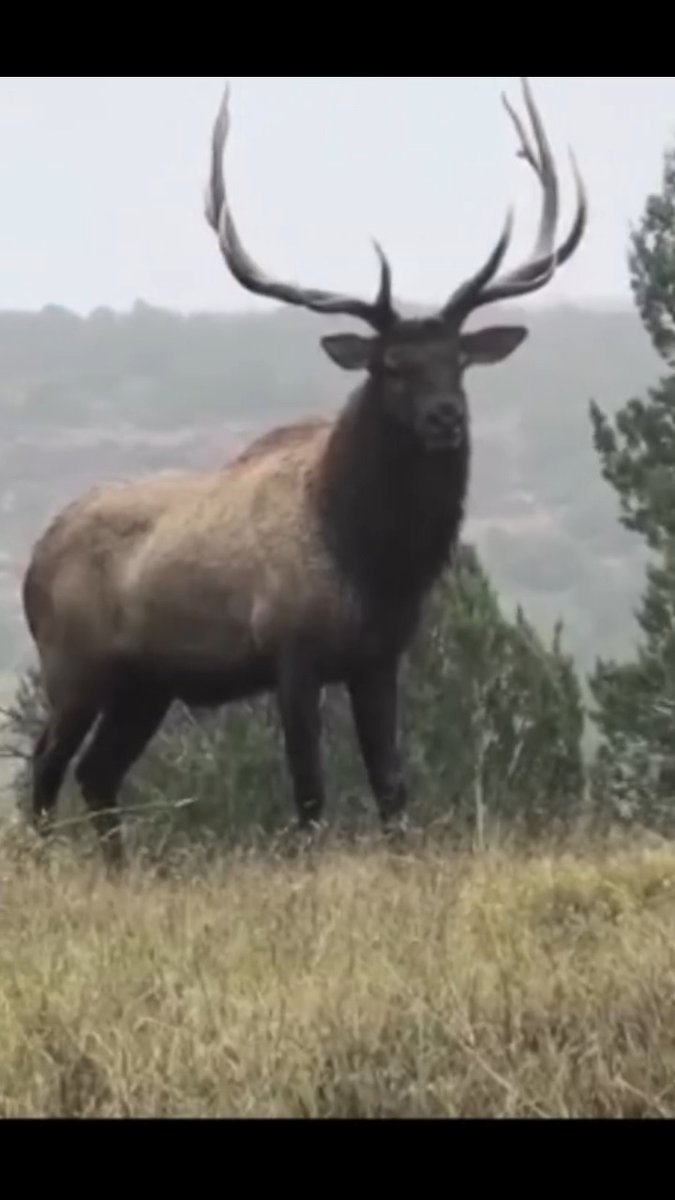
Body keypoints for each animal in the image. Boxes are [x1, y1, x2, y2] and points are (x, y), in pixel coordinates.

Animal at [21, 77, 587, 867]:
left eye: (458, 361)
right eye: (391, 364)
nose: (446, 417)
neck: (371, 558)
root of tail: (33, 559)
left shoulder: (379, 657)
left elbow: (391, 785)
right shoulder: (292, 650)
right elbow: (311, 790)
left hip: (146, 682)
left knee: (99, 773)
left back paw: (119, 872)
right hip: (73, 661)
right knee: (45, 766)